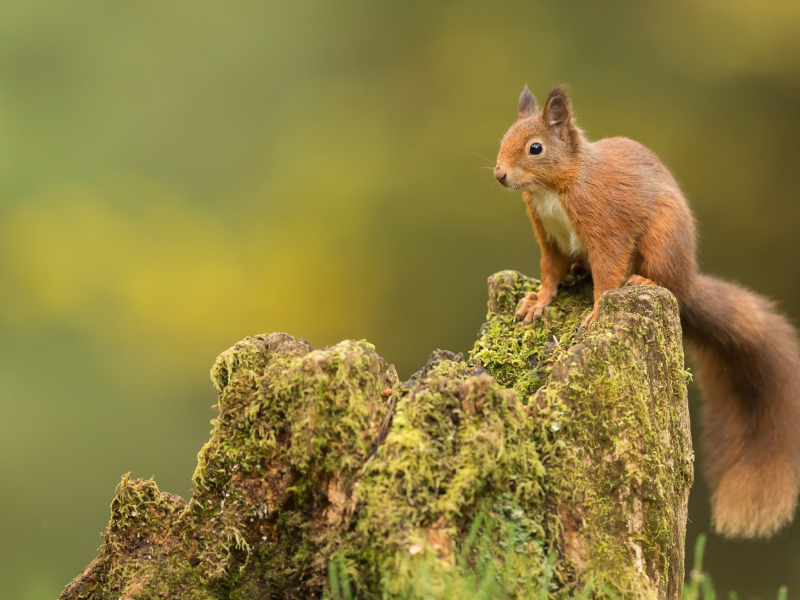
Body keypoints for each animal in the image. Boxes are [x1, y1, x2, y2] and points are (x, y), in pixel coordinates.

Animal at [494, 84, 800, 540]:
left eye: (536, 148)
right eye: (505, 137)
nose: (500, 175)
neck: (556, 188)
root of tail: (689, 283)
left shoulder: (606, 228)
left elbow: (607, 272)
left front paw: (597, 311)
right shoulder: (548, 237)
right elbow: (550, 273)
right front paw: (537, 302)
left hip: (663, 238)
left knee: (661, 279)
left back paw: (644, 282)